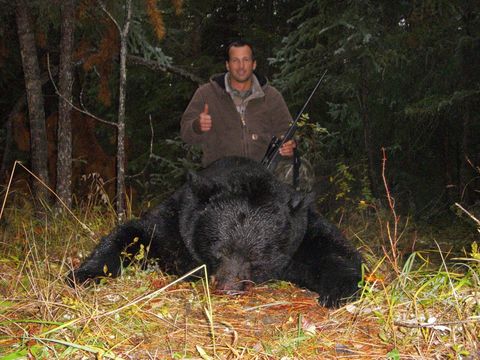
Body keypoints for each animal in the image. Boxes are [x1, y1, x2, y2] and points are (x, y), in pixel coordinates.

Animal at [66, 156, 360, 308]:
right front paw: (84, 274)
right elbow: (136, 234)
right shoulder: (178, 222)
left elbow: (334, 250)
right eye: (219, 251)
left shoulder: (301, 233)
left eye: (256, 258)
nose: (228, 288)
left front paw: (339, 291)